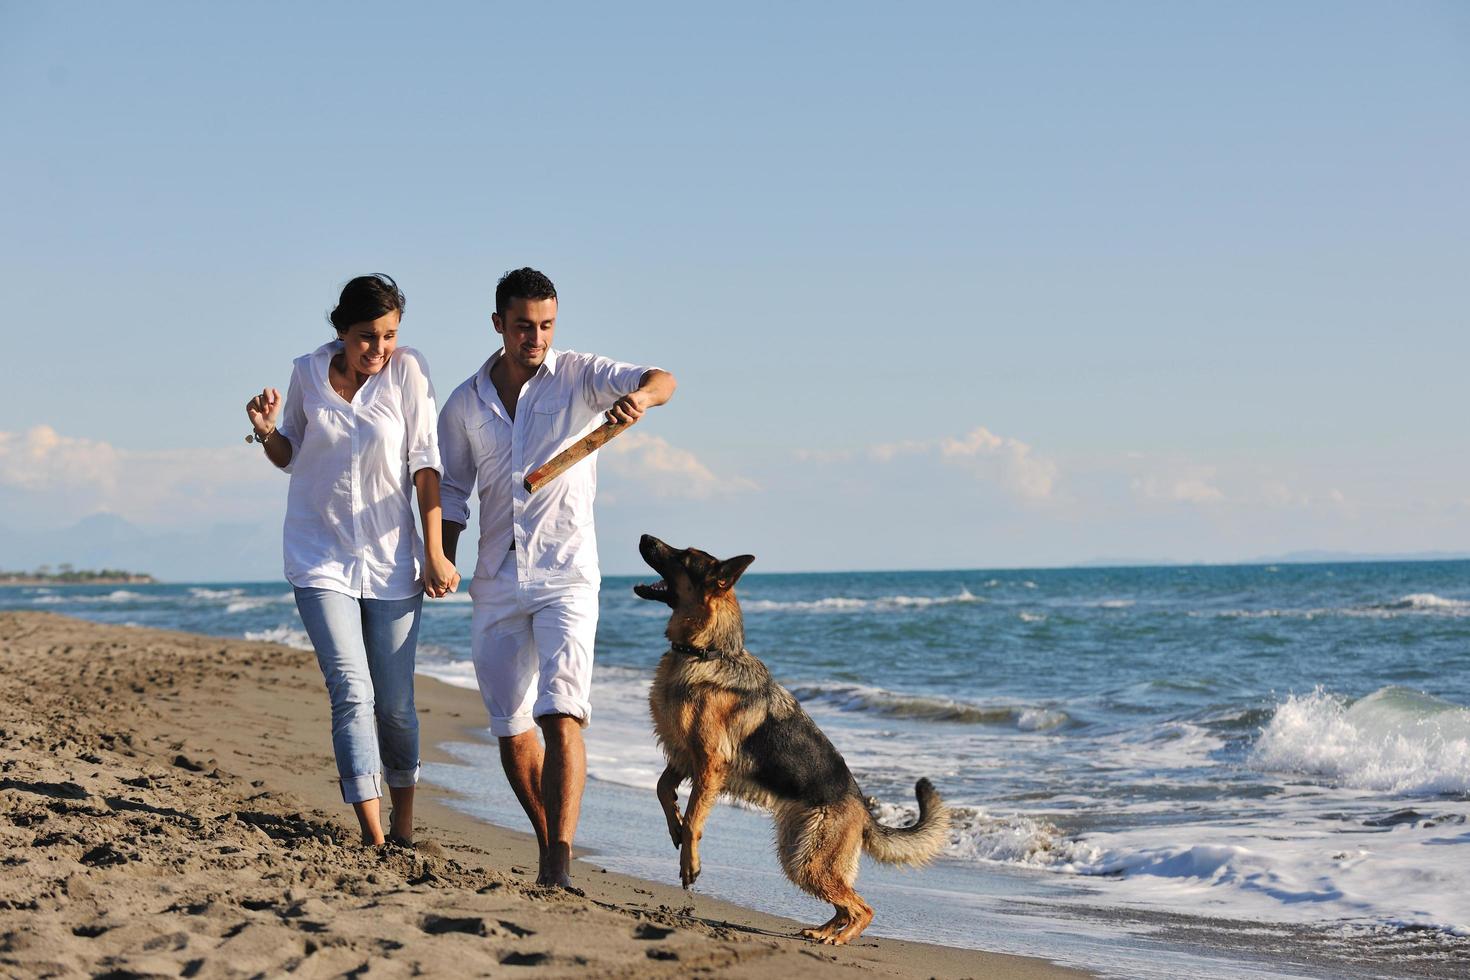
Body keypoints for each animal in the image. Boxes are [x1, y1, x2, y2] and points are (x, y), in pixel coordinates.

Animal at [635, 531, 952, 946]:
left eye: (684, 557)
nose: (644, 537)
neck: (708, 651)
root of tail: (863, 809)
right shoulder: (684, 756)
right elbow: (663, 790)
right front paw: (673, 823)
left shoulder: (709, 763)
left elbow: (693, 819)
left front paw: (689, 862)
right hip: (799, 854)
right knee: (844, 904)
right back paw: (822, 931)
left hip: (807, 860)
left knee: (863, 908)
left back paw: (838, 939)